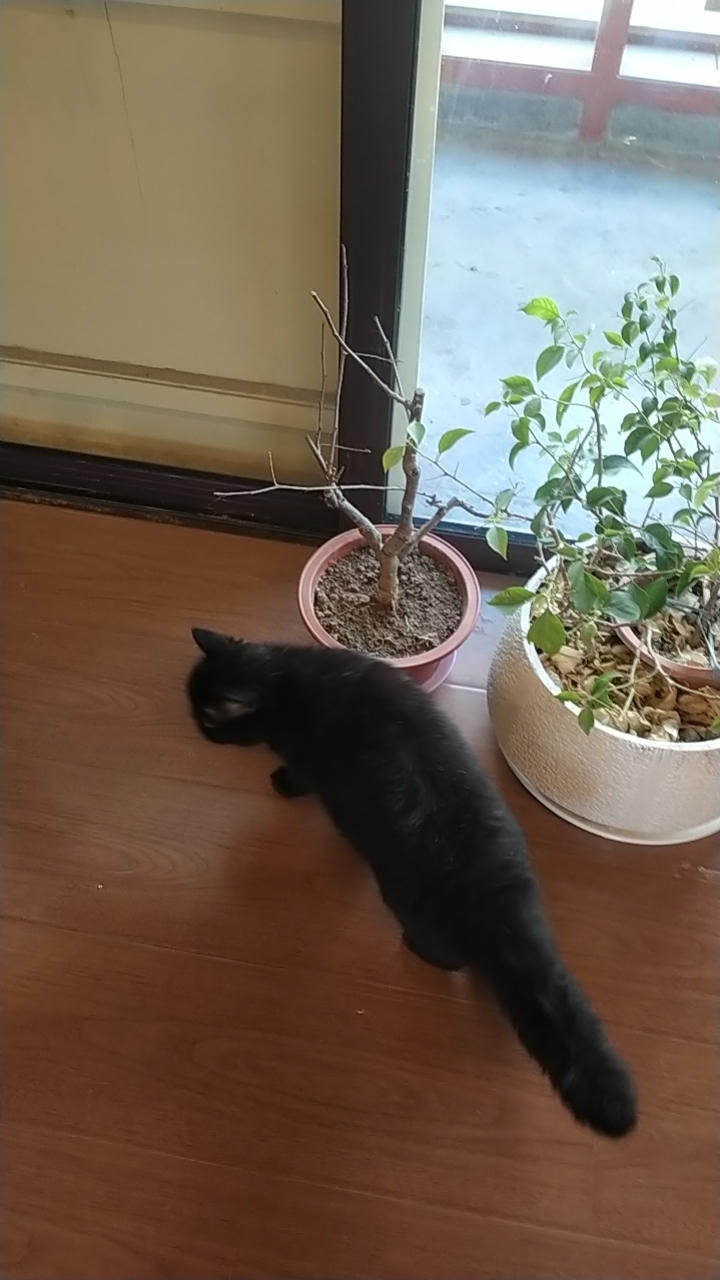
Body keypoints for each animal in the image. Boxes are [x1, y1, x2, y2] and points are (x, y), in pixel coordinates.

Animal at [187, 628, 637, 1138]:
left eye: (208, 721)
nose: (195, 726)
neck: (283, 678)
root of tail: (494, 895)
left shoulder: (303, 759)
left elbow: (298, 778)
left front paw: (281, 784)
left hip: (407, 903)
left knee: (449, 957)